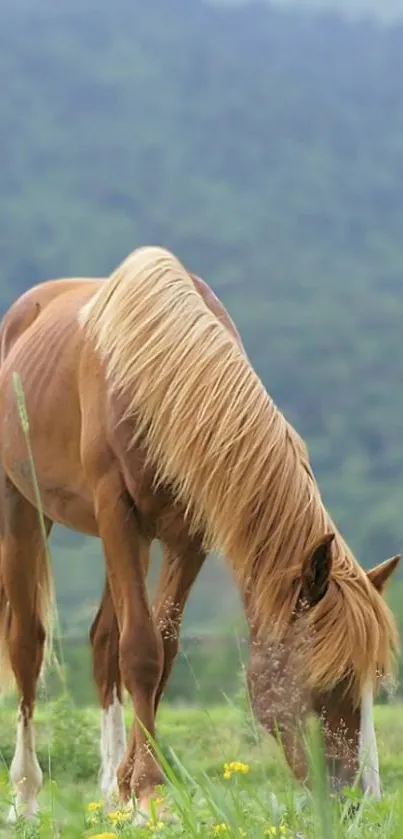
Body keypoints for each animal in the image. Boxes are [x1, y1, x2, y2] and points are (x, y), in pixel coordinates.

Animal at [0, 246, 400, 824]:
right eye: (331, 680)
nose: (359, 801)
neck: (158, 372)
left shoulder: (187, 536)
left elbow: (160, 651)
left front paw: (132, 786)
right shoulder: (117, 513)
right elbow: (141, 652)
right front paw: (147, 793)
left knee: (101, 642)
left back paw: (107, 790)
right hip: (24, 507)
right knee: (28, 643)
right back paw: (27, 796)